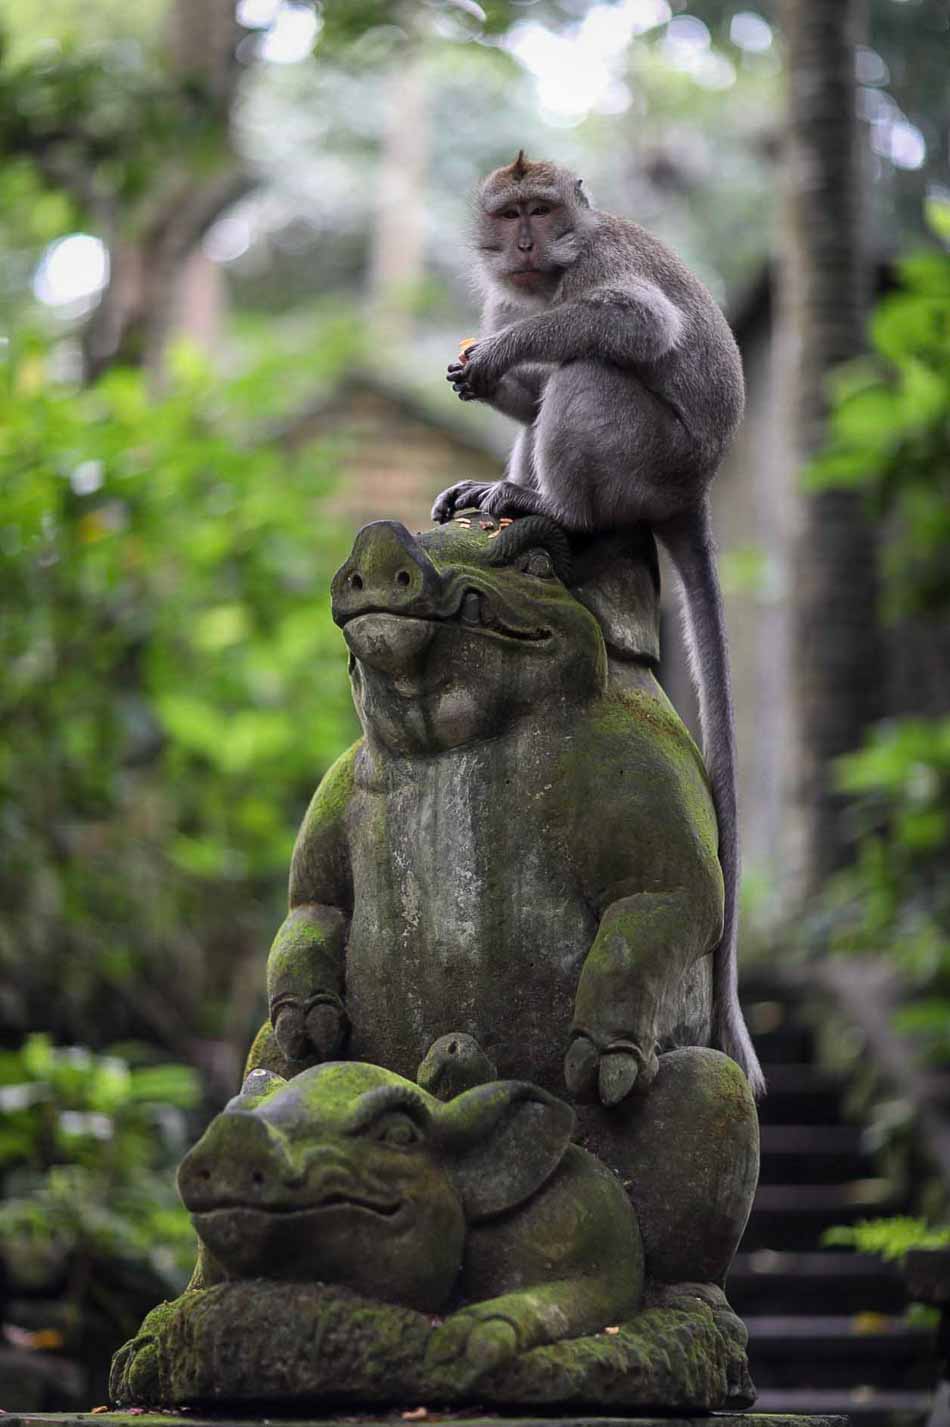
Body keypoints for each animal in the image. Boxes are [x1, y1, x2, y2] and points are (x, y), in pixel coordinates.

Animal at [431, 151, 764, 1100]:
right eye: (510, 214)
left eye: (543, 210)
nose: (525, 243)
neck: (544, 283)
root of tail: (697, 487)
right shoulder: (507, 294)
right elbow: (521, 390)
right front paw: (485, 373)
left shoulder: (590, 273)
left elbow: (633, 324)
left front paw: (504, 354)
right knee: (556, 395)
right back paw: (502, 495)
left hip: (652, 459)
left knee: (587, 373)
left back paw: (557, 509)